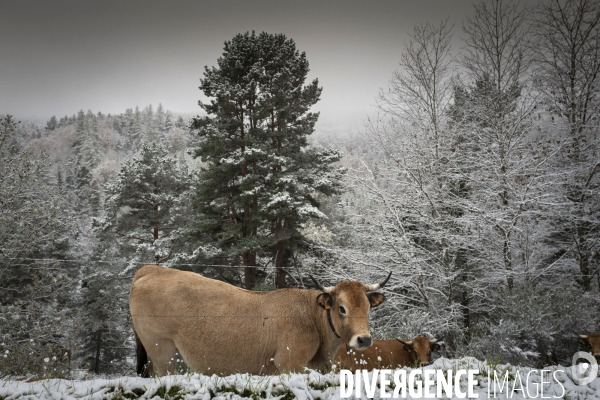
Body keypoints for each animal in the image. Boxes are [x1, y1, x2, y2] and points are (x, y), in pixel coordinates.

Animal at [129, 266, 392, 376]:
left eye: (368, 307)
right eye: (341, 308)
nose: (364, 339)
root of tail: (153, 269)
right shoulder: (289, 364)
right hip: (161, 351)